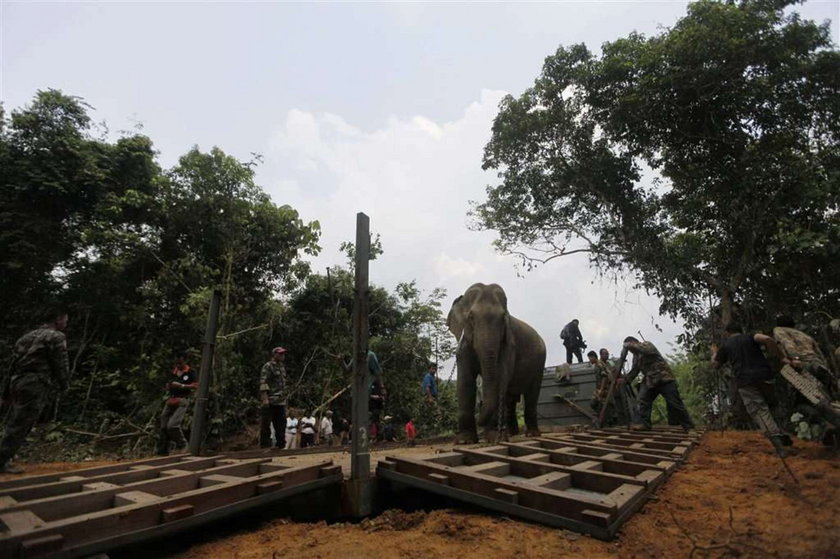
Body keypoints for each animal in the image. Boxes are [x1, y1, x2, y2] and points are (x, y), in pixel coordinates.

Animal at [446, 282, 544, 444]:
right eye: (471, 317)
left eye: (503, 318)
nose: (480, 416)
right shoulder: (464, 345)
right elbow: (465, 382)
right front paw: (465, 441)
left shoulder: (509, 345)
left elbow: (499, 377)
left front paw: (493, 438)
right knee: (510, 398)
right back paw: (510, 434)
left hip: (540, 365)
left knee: (531, 395)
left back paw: (530, 434)